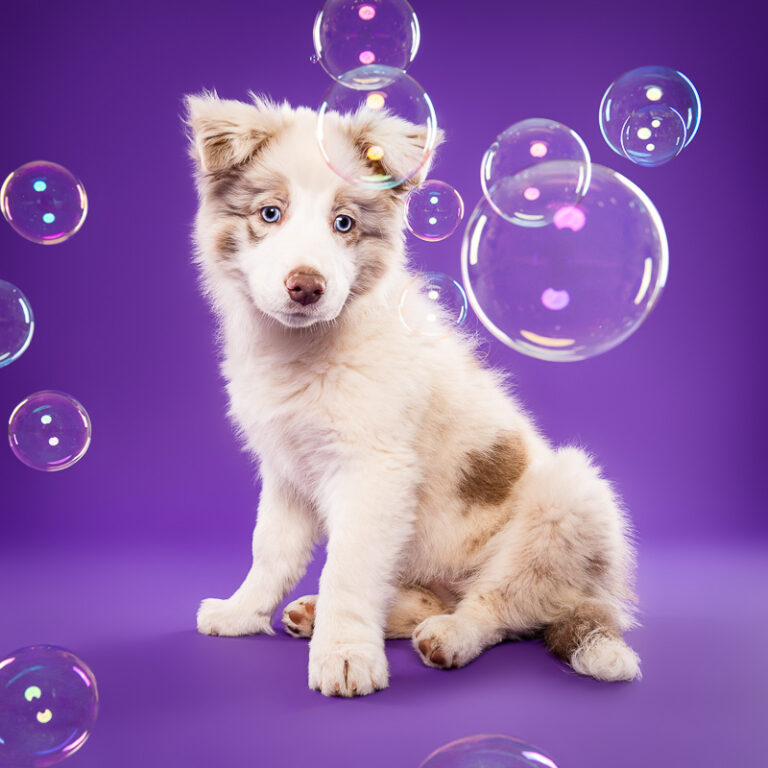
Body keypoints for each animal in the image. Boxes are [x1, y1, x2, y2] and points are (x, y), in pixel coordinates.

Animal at [183, 91, 640, 696]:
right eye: (269, 214)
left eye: (344, 223)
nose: (306, 287)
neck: (304, 348)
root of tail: (594, 593)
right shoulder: (287, 471)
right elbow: (271, 549)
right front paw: (242, 613)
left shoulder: (372, 468)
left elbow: (349, 568)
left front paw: (345, 656)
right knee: (433, 598)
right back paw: (329, 612)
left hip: (567, 503)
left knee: (502, 605)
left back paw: (451, 635)